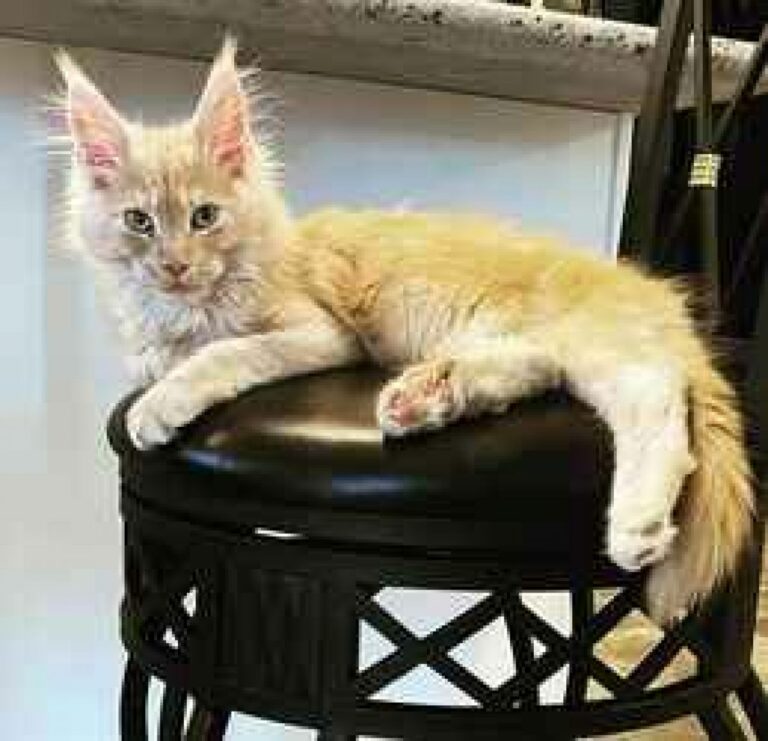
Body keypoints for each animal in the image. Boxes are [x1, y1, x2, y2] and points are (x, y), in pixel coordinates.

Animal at [55, 39, 753, 624]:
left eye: (204, 217)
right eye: (139, 222)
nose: (173, 266)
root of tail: (653, 293)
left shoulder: (320, 333)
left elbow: (224, 352)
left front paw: (163, 400)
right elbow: (162, 354)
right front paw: (159, 361)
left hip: (588, 340)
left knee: (653, 397)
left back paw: (638, 524)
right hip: (524, 343)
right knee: (534, 370)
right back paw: (424, 399)